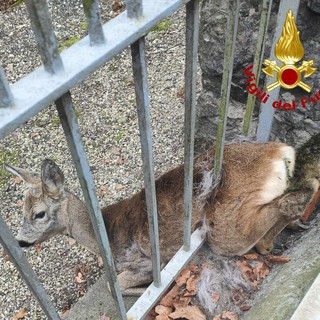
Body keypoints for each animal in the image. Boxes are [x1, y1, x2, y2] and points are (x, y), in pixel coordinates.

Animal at [5, 133, 320, 296]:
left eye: (39, 214)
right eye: (21, 210)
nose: (20, 241)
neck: (103, 236)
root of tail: (280, 152)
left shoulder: (144, 260)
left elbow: (114, 285)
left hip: (224, 226)